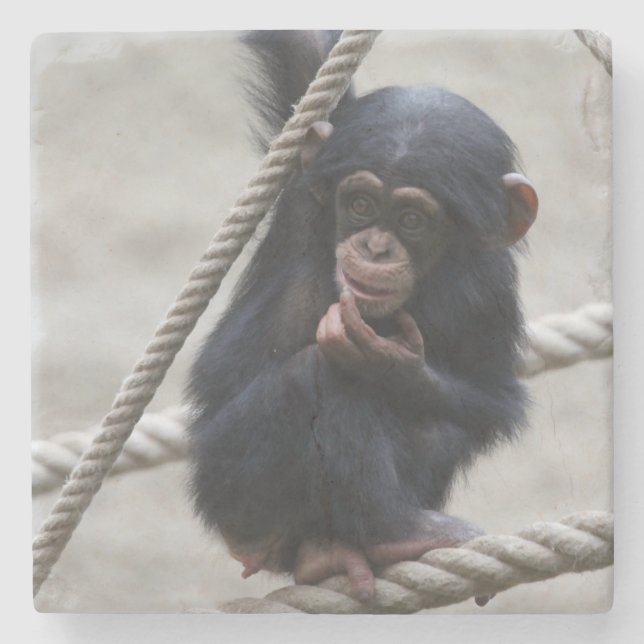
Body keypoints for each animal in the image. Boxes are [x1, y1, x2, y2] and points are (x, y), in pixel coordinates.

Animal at [186, 31, 538, 603]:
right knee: (316, 376)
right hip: (226, 487)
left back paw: (339, 550)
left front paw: (391, 363)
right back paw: (396, 532)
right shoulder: (309, 188)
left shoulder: (493, 288)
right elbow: (304, 56)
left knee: (433, 425)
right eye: (360, 205)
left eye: (412, 219)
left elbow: (492, 397)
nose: (375, 247)